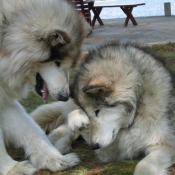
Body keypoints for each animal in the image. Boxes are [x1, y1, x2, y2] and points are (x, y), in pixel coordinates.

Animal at [0, 0, 91, 174]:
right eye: (57, 63)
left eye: (70, 65)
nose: (65, 97)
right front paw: (10, 169)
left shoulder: (5, 100)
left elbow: (31, 130)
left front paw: (55, 160)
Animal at [31, 41, 175, 175]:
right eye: (87, 111)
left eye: (97, 111)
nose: (93, 146)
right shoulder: (108, 150)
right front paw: (79, 119)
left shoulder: (165, 145)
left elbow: (143, 166)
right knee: (66, 126)